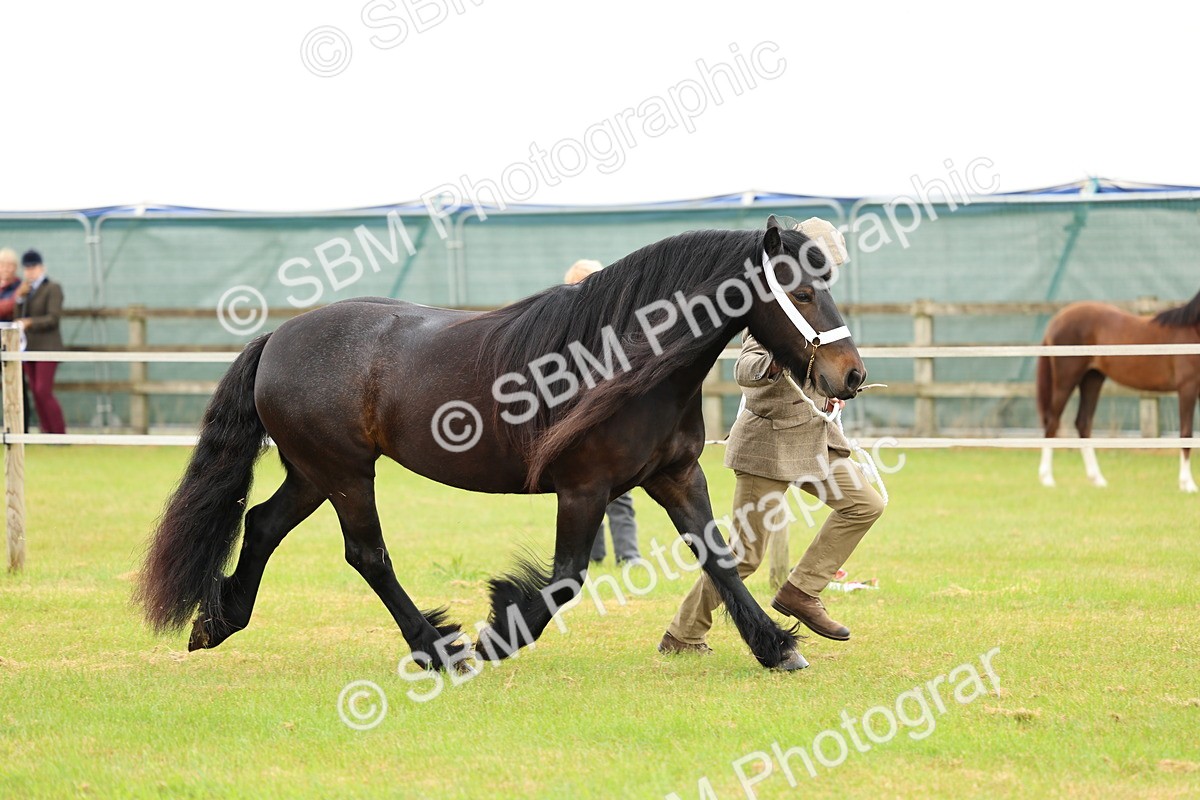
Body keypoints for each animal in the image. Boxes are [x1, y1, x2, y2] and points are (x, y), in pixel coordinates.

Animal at [135, 215, 867, 673]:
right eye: (802, 290)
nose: (850, 375)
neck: (627, 364)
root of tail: (279, 338)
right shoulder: (584, 488)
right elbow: (566, 577)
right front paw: (497, 632)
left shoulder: (678, 476)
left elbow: (718, 559)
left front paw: (777, 647)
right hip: (345, 474)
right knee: (366, 555)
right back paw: (438, 647)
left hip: (315, 472)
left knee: (261, 525)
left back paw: (217, 621)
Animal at [1036, 288, 1200, 493]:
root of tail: (1057, 320)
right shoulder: (1188, 387)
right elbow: (1186, 433)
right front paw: (1188, 484)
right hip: (1066, 380)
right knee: (1052, 422)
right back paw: (1047, 479)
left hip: (1092, 379)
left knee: (1083, 423)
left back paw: (1097, 479)